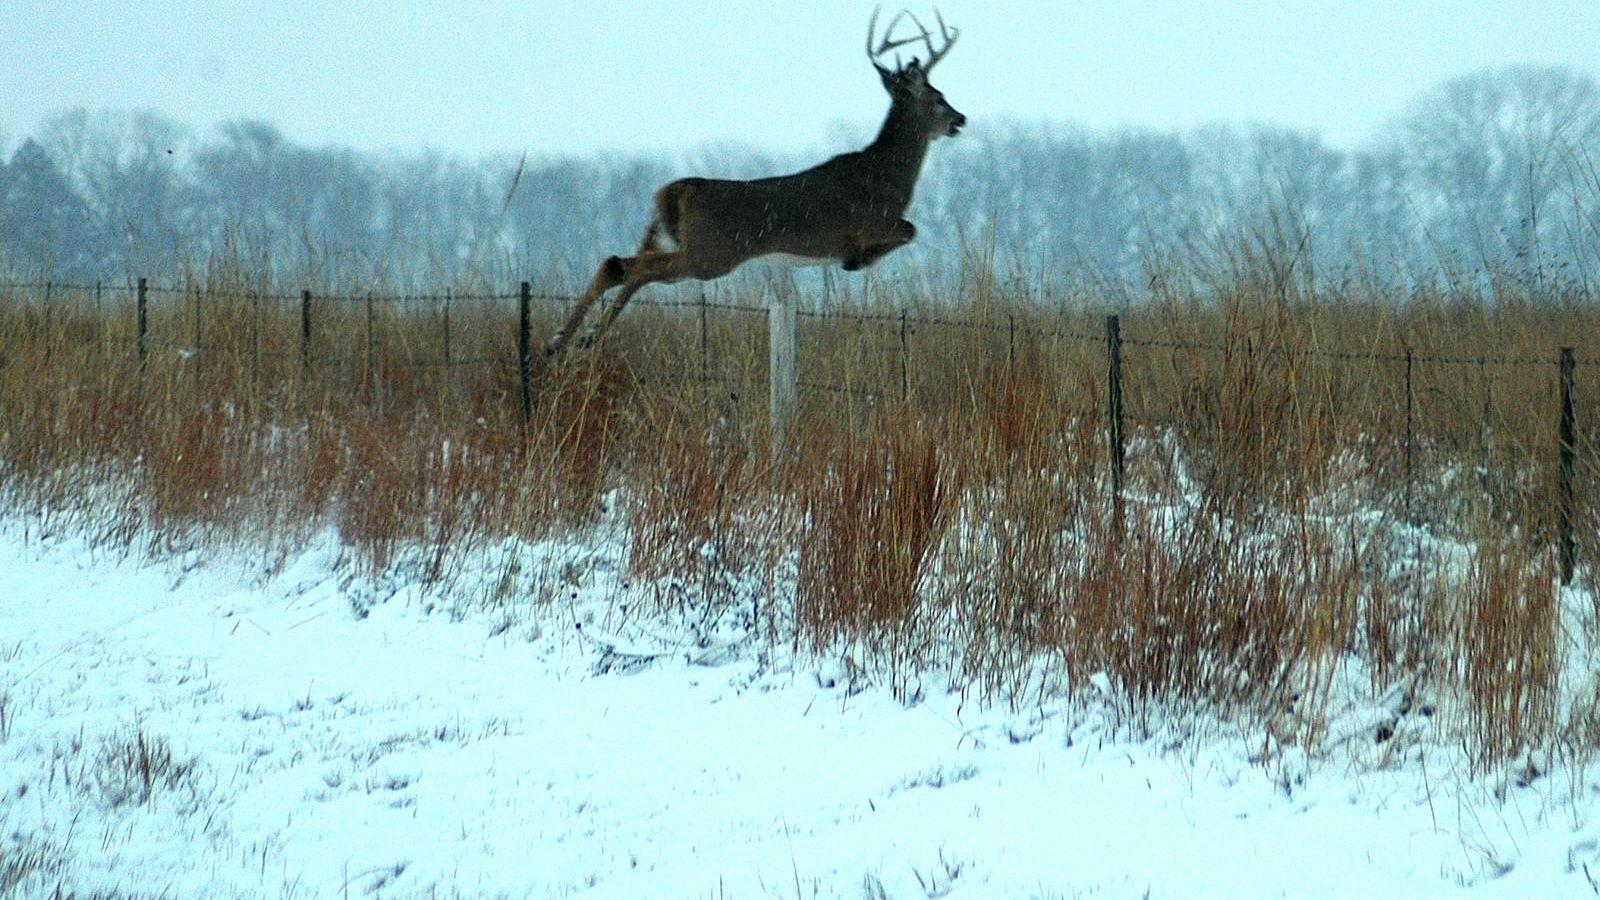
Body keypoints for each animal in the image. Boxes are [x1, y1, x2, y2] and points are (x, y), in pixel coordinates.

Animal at [545, 8, 965, 359]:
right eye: (938, 97)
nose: (959, 119)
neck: (888, 177)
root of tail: (674, 192)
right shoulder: (868, 221)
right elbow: (910, 229)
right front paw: (857, 260)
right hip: (710, 253)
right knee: (629, 268)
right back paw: (570, 339)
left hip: (667, 239)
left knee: (622, 267)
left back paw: (571, 339)